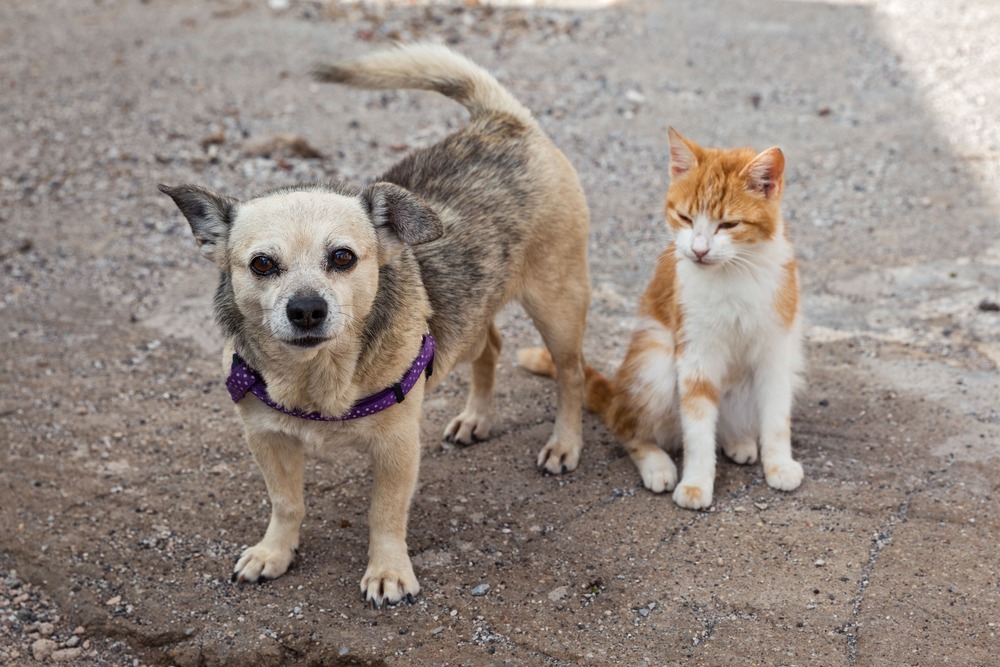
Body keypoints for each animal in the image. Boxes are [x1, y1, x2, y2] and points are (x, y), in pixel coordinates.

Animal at [159, 40, 588, 604]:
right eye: (262, 264)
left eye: (342, 257)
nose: (307, 309)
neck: (316, 376)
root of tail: (502, 120)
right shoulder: (267, 440)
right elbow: (286, 503)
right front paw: (275, 552)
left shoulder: (397, 448)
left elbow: (385, 515)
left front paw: (387, 572)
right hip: (474, 317)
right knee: (491, 345)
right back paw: (476, 417)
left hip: (557, 306)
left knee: (571, 375)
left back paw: (564, 443)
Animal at [516, 128, 804, 508]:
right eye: (685, 218)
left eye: (728, 224)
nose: (698, 250)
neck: (735, 274)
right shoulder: (695, 352)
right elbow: (697, 427)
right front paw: (696, 482)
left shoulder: (776, 351)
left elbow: (776, 418)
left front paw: (779, 464)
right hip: (655, 358)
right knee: (624, 424)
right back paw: (657, 463)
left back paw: (737, 440)